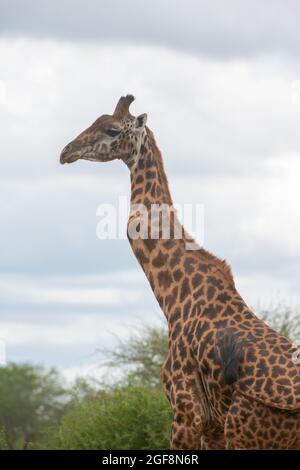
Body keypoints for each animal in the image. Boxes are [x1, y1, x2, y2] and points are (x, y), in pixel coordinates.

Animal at [60, 94, 300, 448]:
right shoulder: (212, 426)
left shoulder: (186, 413)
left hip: (248, 432)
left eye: (112, 129)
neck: (174, 299)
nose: (66, 152)